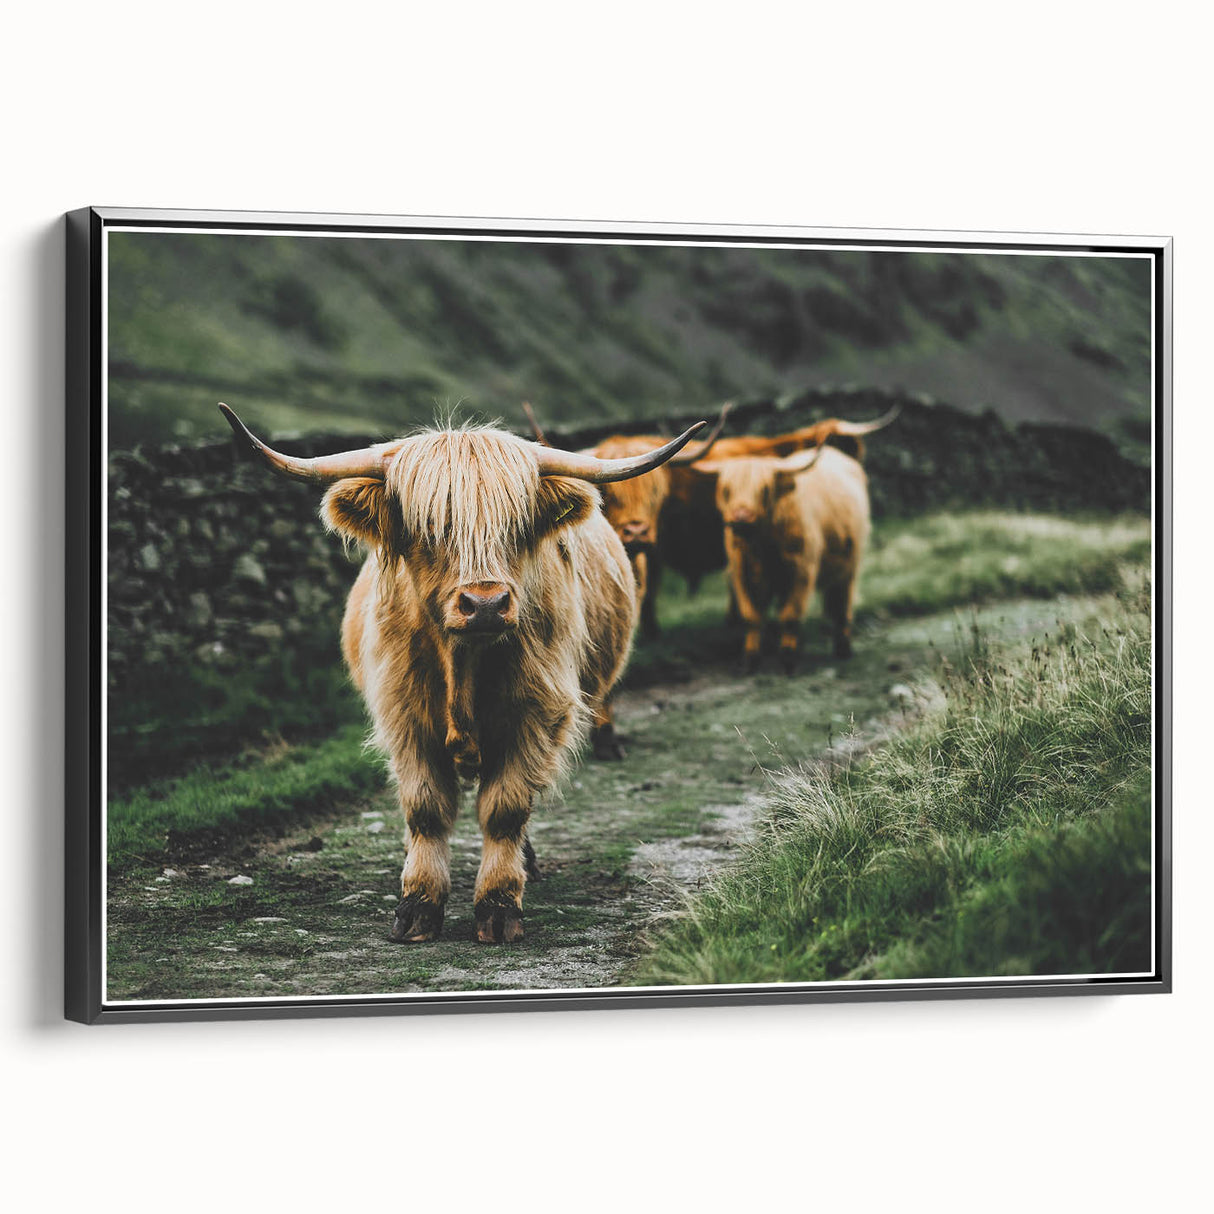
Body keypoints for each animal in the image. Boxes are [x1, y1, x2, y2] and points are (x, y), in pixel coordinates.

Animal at [218, 403, 706, 944]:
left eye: (517, 525)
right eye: (429, 526)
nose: (486, 603)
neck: (463, 666)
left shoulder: (536, 716)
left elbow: (506, 808)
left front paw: (498, 906)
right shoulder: (403, 717)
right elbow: (426, 809)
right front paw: (417, 906)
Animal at [689, 443, 871, 673]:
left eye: (765, 489)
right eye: (726, 490)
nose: (741, 517)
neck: (763, 544)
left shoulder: (802, 569)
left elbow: (791, 615)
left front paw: (788, 660)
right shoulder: (742, 572)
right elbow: (752, 616)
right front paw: (750, 660)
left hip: (850, 564)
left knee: (842, 604)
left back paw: (842, 648)